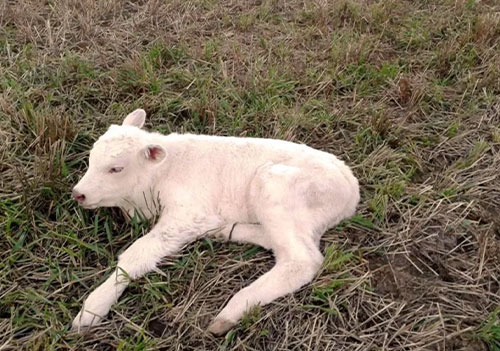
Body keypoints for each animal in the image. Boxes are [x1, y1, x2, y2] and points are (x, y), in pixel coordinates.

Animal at [70, 109, 360, 336]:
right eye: (91, 159)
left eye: (116, 168)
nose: (78, 193)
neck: (163, 172)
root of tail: (351, 189)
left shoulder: (188, 214)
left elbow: (138, 253)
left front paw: (92, 308)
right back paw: (223, 231)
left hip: (276, 186)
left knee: (301, 260)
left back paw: (231, 312)